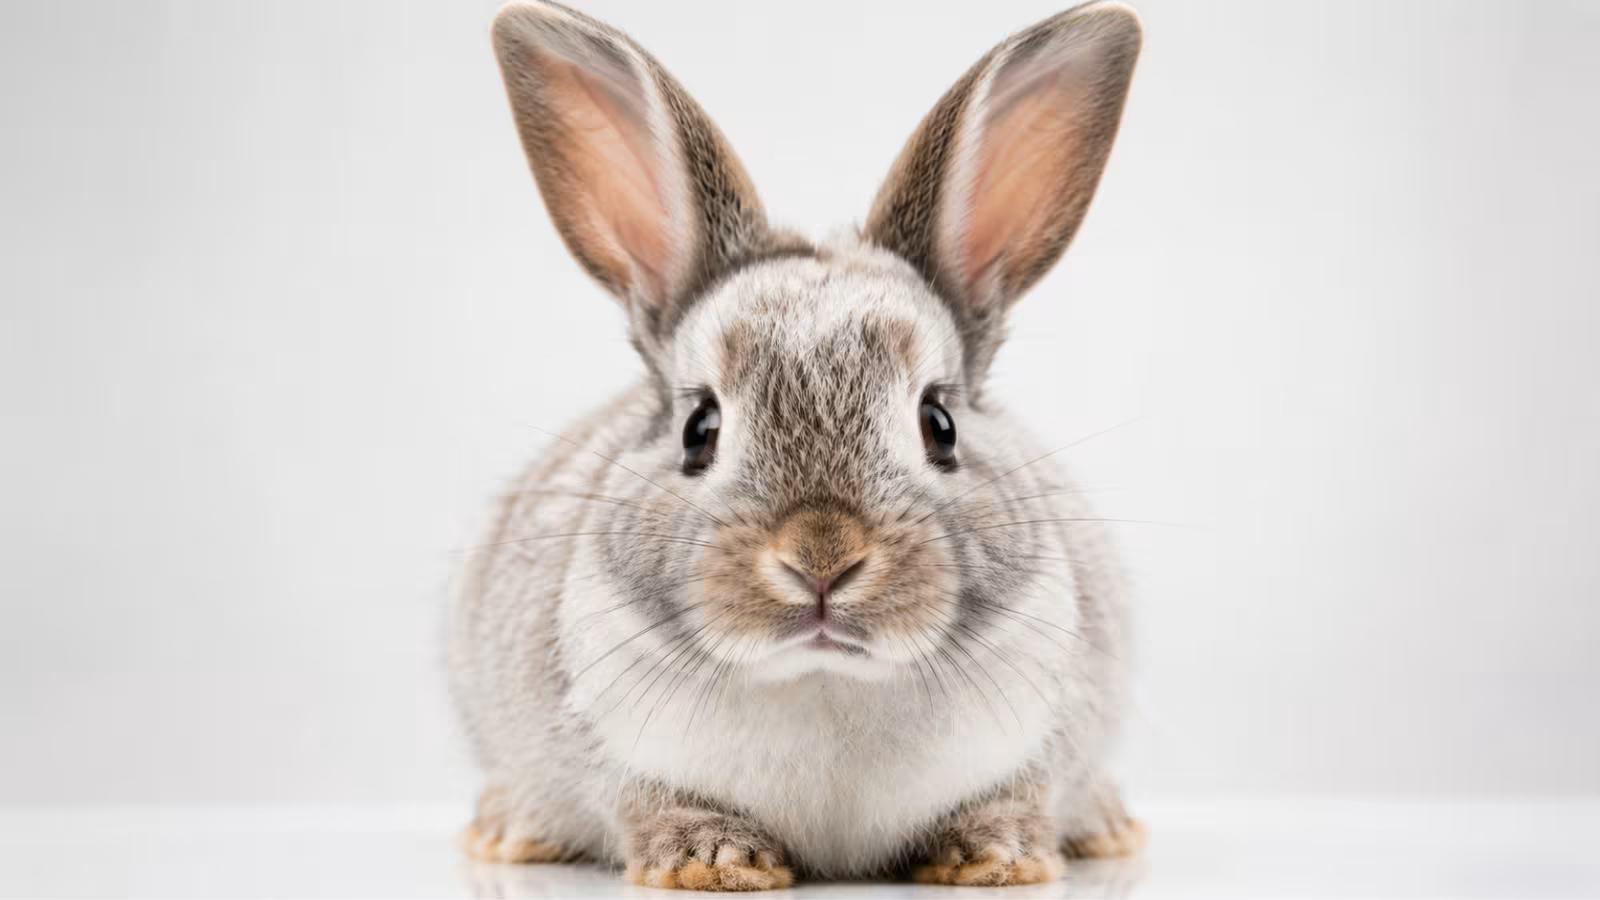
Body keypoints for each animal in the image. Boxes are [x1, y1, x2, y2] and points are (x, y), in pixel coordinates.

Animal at [449, 0, 1145, 889]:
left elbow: (1012, 799)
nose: (821, 557)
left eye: (940, 424)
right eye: (699, 428)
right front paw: (714, 864)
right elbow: (657, 807)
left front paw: (995, 858)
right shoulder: (623, 766)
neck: (825, 677)